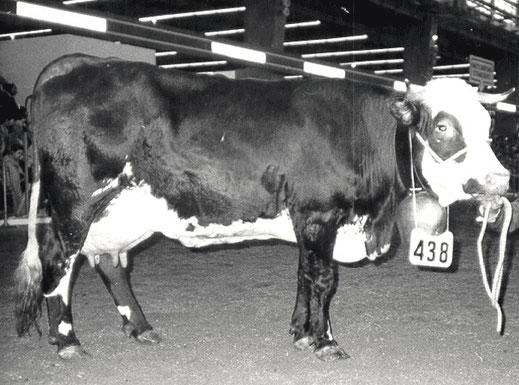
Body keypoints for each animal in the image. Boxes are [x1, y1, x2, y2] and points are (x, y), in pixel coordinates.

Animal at [15, 53, 512, 360]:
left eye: (489, 127)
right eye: (443, 127)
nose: (500, 179)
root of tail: (78, 67)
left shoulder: (308, 221)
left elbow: (305, 274)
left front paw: (300, 332)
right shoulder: (319, 214)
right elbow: (324, 279)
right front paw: (324, 341)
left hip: (123, 210)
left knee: (109, 263)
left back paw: (140, 327)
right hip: (76, 203)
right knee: (59, 260)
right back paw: (67, 340)